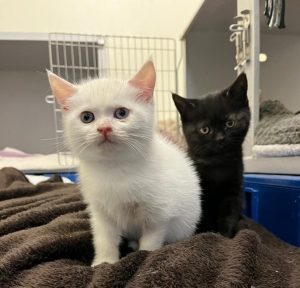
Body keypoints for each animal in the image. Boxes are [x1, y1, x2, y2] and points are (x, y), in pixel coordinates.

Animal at [47, 60, 202, 266]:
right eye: (86, 117)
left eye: (121, 113)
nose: (104, 128)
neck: (114, 167)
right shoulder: (100, 211)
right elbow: (104, 238)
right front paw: (103, 262)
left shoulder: (158, 213)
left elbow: (152, 239)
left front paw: (143, 257)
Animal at [172, 73, 250, 237]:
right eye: (205, 130)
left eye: (230, 123)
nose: (220, 138)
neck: (217, 163)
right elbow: (199, 217)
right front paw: (201, 235)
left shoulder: (233, 192)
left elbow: (228, 215)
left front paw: (223, 236)